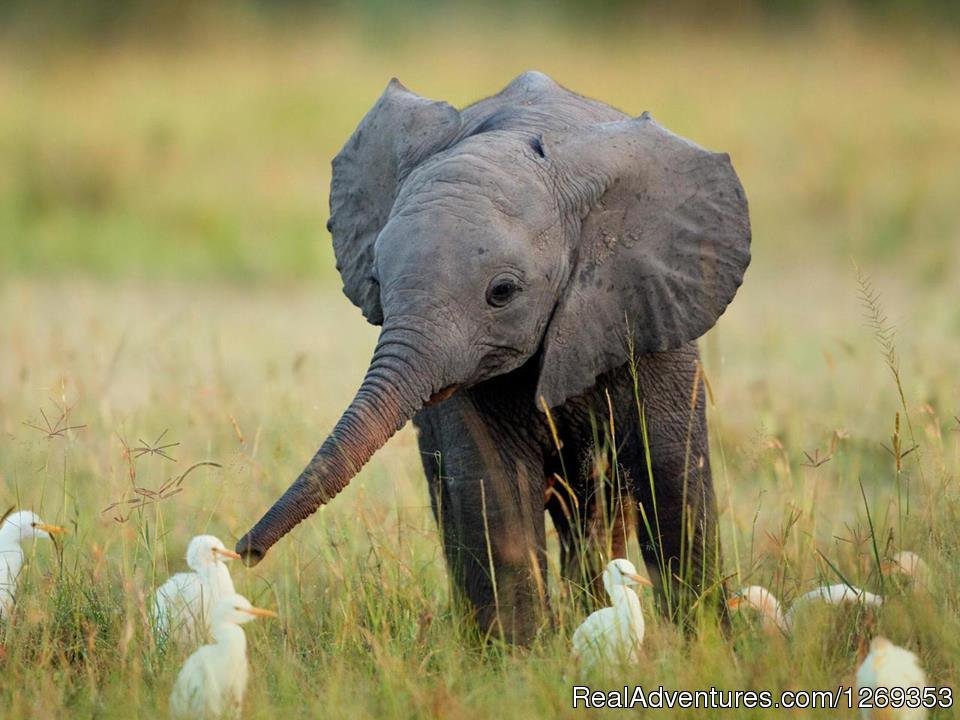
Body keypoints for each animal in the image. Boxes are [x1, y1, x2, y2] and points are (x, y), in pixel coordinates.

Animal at [238, 71, 752, 640]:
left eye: (501, 292)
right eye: (376, 280)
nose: (245, 552)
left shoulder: (651, 307)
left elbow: (672, 476)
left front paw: (708, 644)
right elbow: (493, 489)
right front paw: (519, 656)